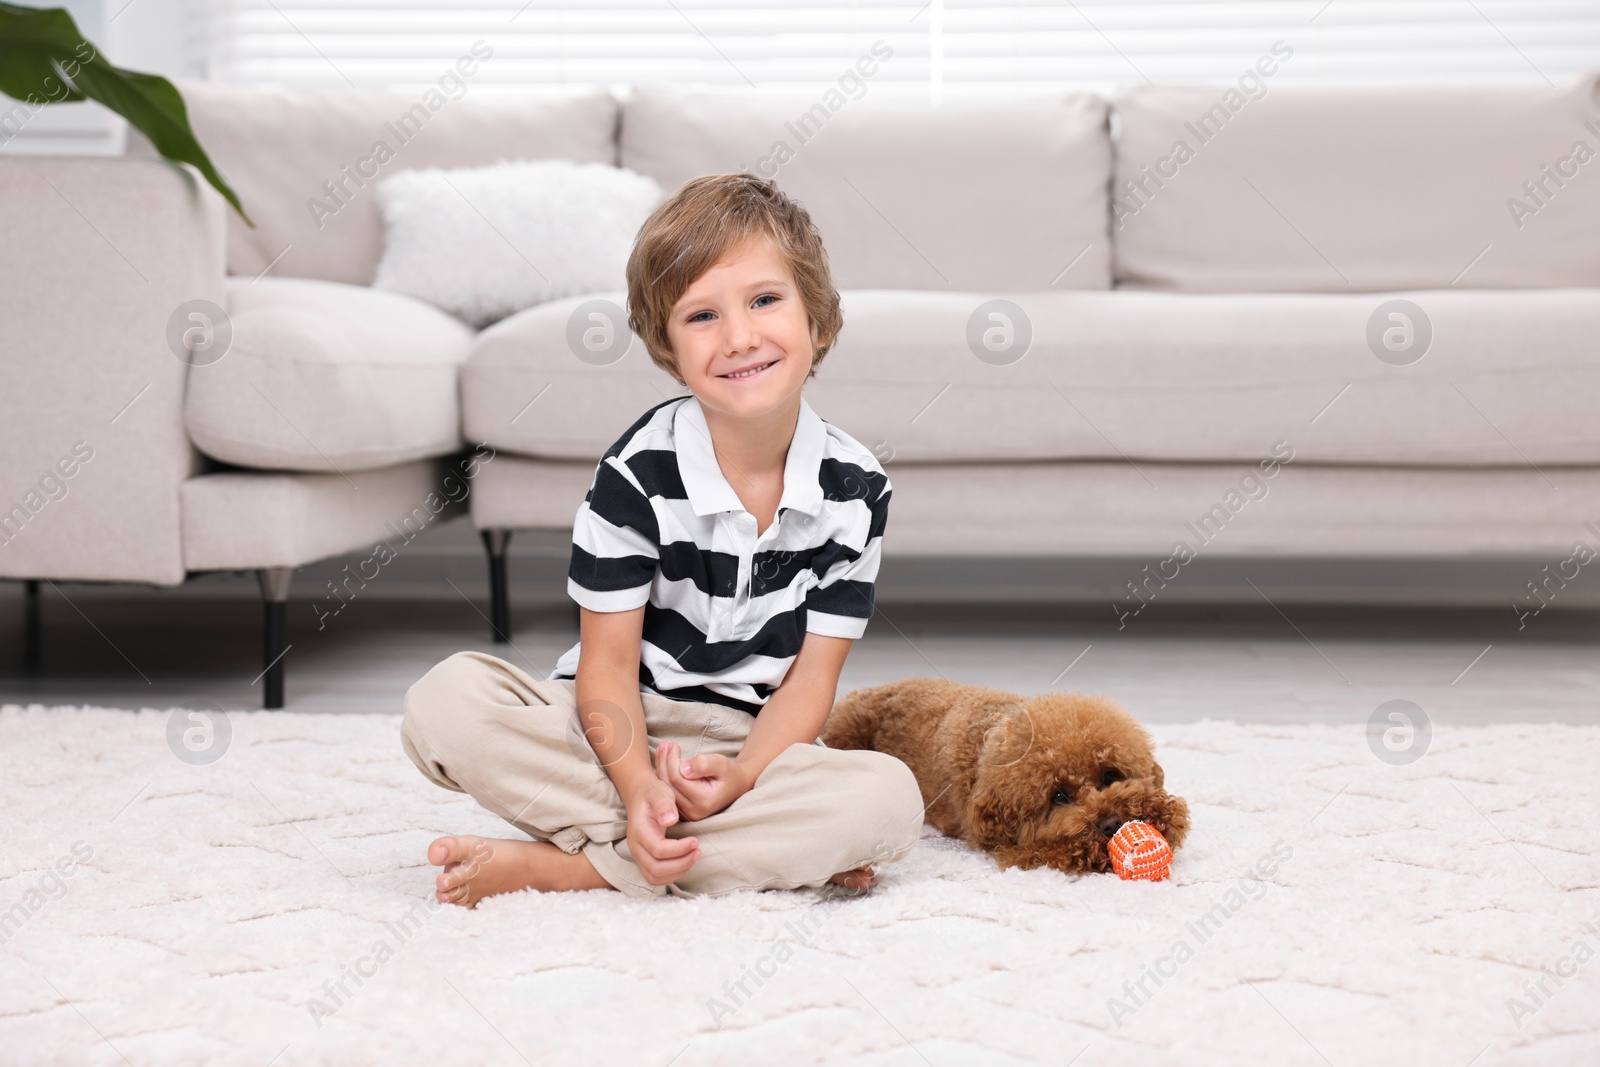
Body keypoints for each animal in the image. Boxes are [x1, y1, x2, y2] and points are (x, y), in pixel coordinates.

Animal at [825, 681, 1190, 870]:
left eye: (1111, 775)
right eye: (1059, 797)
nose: (1112, 823)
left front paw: (1163, 813)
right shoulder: (1009, 848)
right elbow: (1054, 849)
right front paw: (1090, 850)